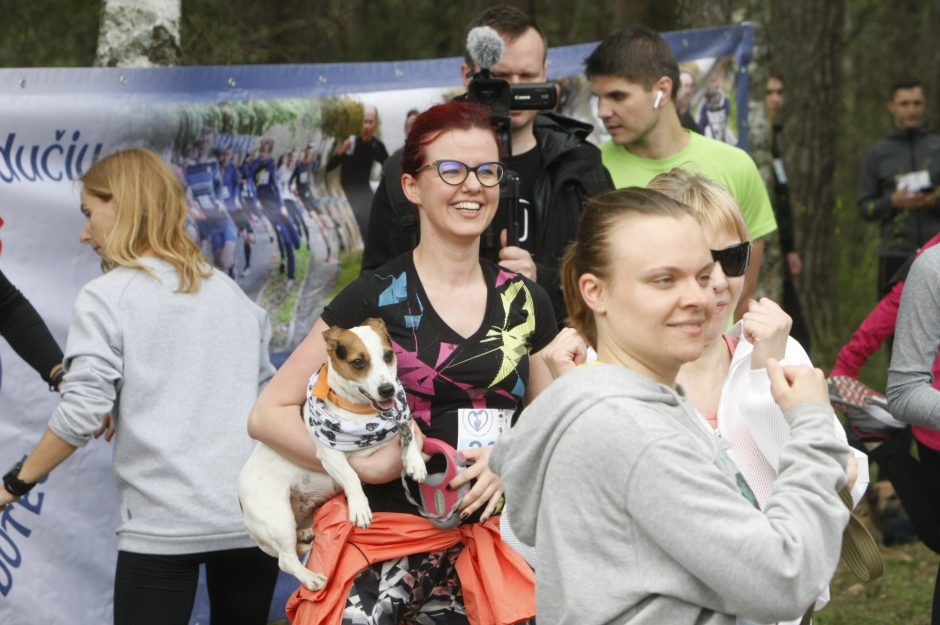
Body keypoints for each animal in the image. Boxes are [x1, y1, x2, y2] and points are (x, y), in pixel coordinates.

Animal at [237, 320, 428, 588]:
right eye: (358, 362)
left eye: (388, 355)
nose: (388, 390)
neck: (365, 416)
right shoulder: (331, 456)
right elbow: (351, 477)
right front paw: (359, 506)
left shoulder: (403, 422)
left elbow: (409, 435)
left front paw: (415, 461)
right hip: (277, 518)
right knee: (286, 560)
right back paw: (310, 577)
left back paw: (305, 533)